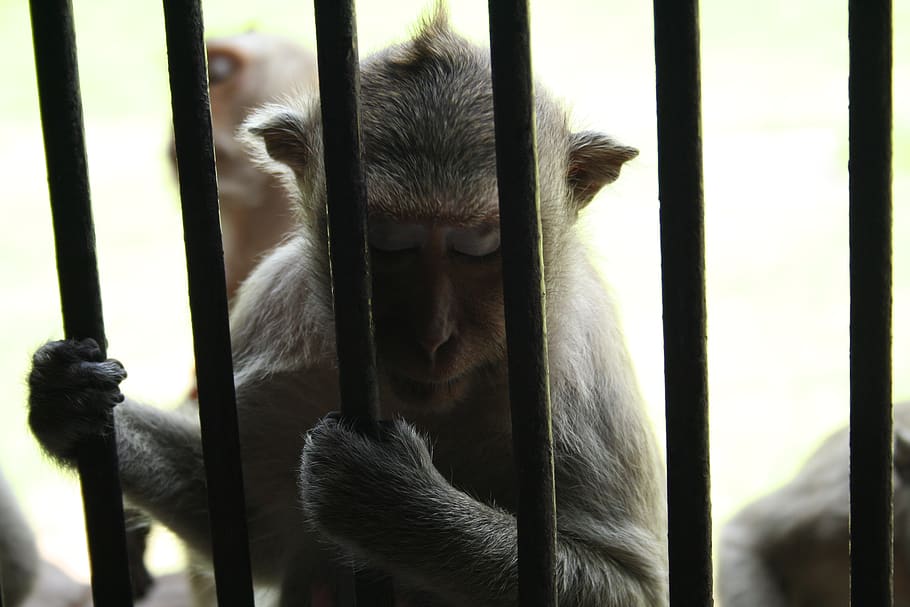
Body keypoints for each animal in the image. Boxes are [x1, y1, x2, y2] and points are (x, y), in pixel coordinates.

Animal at [27, 11, 668, 606]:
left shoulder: (580, 394)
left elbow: (631, 586)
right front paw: (70, 400)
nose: (432, 337)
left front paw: (393, 506)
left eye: (480, 248)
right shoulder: (275, 321)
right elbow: (250, 527)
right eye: (383, 245)